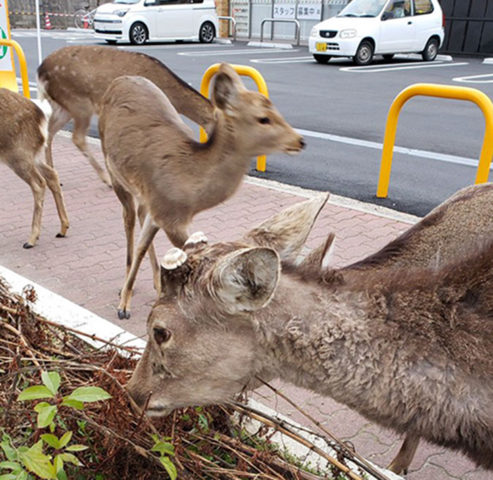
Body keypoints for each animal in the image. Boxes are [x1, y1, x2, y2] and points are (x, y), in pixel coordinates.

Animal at [0, 87, 69, 249]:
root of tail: (41, 116)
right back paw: (63, 228)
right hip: (33, 154)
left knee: (39, 183)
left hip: (18, 154)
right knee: (51, 174)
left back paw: (32, 239)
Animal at [37, 45, 214, 187]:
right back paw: (106, 179)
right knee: (77, 137)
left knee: (49, 130)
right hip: (78, 103)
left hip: (63, 106)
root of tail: (41, 70)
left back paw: (53, 175)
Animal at [98, 63, 306, 318]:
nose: (300, 141)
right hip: (113, 168)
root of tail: (118, 80)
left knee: (138, 218)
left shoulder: (161, 210)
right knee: (127, 218)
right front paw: (123, 307)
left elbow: (144, 245)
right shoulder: (170, 216)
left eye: (275, 109)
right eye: (263, 118)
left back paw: (153, 282)